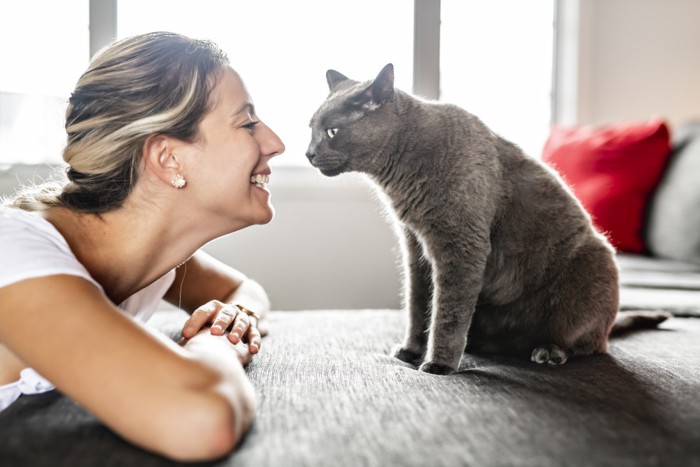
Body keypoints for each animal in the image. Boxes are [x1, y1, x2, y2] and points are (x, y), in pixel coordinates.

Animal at [304, 64, 668, 374]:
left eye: (332, 131)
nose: (308, 153)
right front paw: (410, 351)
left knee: (590, 344)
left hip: (596, 264)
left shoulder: (460, 246)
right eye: (311, 130)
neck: (399, 176)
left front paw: (438, 364)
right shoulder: (414, 248)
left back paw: (549, 351)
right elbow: (418, 305)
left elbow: (447, 312)